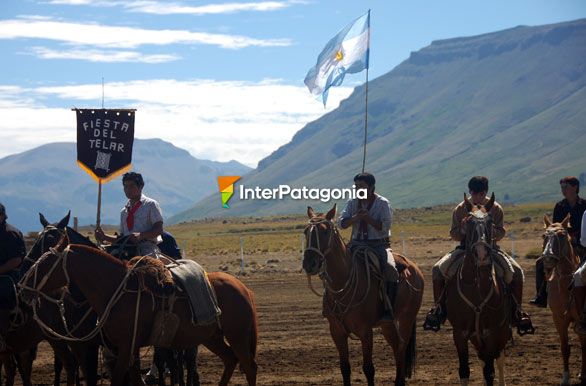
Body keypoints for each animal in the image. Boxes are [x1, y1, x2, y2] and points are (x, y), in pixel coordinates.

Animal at [19, 232, 256, 386]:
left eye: (46, 263)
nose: (22, 287)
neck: (114, 289)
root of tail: (242, 287)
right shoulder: (122, 348)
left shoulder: (124, 346)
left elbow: (117, 380)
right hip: (211, 336)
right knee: (230, 360)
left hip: (238, 335)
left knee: (248, 366)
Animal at [302, 205, 424, 386]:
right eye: (305, 232)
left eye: (324, 231)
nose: (309, 263)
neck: (342, 285)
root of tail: (415, 268)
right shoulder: (337, 332)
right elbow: (345, 368)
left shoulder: (365, 332)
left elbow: (368, 369)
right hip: (388, 324)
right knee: (397, 347)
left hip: (406, 319)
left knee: (401, 347)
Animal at [444, 195, 508, 384]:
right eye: (469, 221)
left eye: (490, 221)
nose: (481, 254)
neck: (476, 287)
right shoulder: (460, 333)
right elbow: (465, 371)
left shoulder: (491, 332)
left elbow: (490, 371)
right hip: (476, 338)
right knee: (483, 358)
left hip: (502, 332)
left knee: (499, 359)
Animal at [540, 213, 584, 384]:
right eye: (544, 235)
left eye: (562, 235)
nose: (548, 258)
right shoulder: (559, 318)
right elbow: (565, 348)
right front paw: (565, 378)